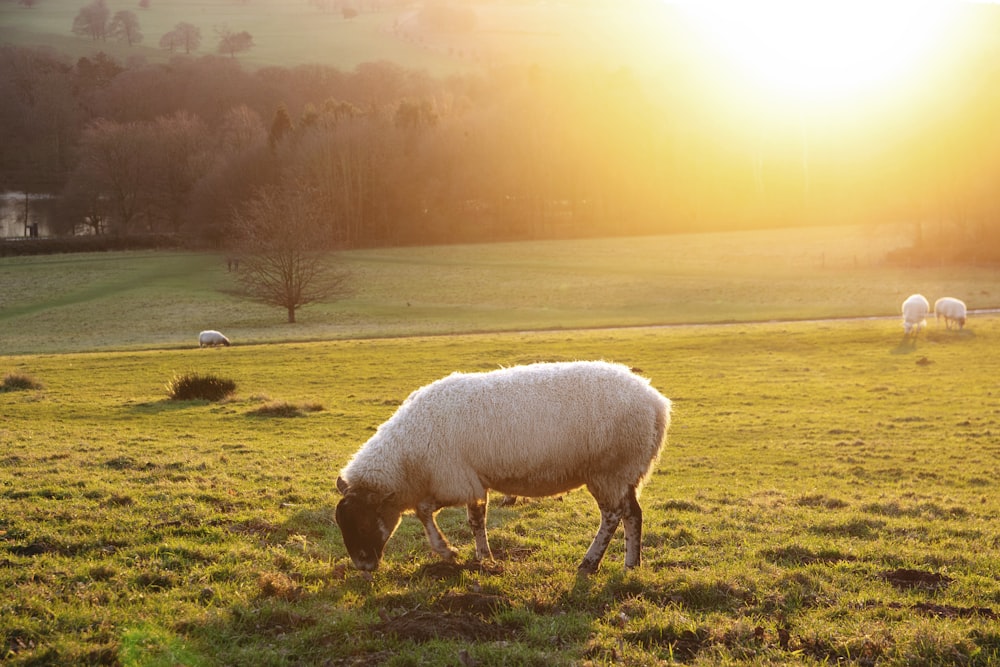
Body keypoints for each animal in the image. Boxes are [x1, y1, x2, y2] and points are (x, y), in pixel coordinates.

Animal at [336, 360, 672, 576]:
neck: (407, 458)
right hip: (626, 470)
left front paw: (448, 551)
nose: (363, 568)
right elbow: (476, 520)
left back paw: (589, 563)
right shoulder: (471, 480)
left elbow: (424, 510)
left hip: (609, 469)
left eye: (364, 524)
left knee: (612, 516)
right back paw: (631, 564)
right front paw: (483, 558)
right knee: (632, 513)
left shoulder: (453, 480)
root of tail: (656, 403)